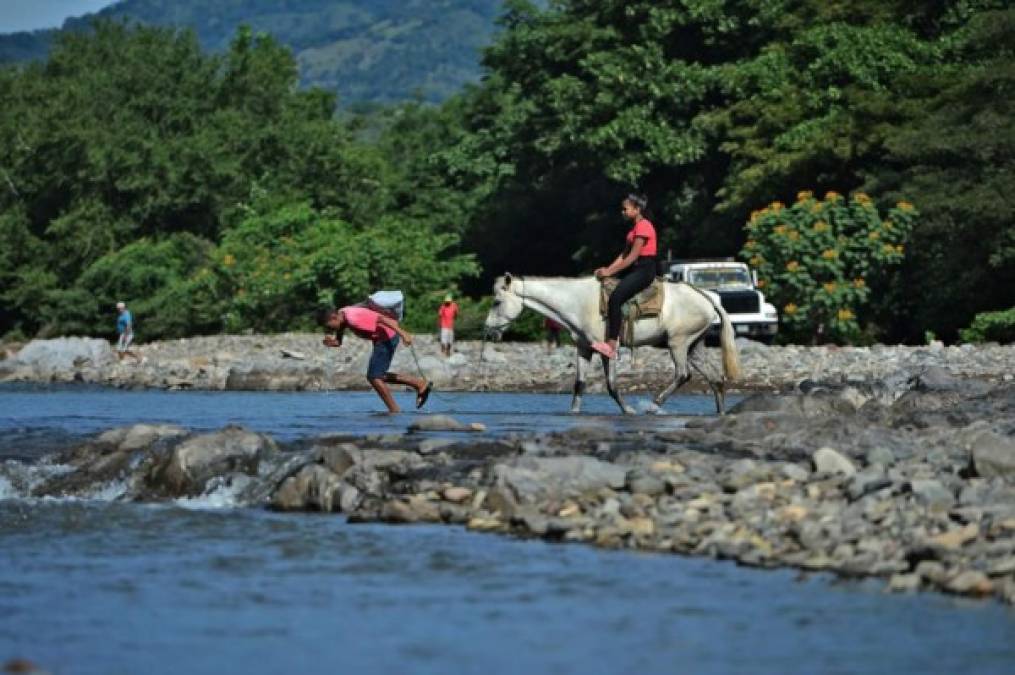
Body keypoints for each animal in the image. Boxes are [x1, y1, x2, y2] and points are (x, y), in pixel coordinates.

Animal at [483, 272, 738, 410]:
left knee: (683, 374)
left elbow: (612, 386)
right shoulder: (584, 348)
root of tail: (707, 297)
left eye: (496, 302)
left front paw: (629, 411)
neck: (577, 302)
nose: (488, 331)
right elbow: (579, 385)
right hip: (694, 346)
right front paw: (573, 413)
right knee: (716, 379)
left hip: (678, 343)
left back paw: (654, 405)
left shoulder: (607, 349)